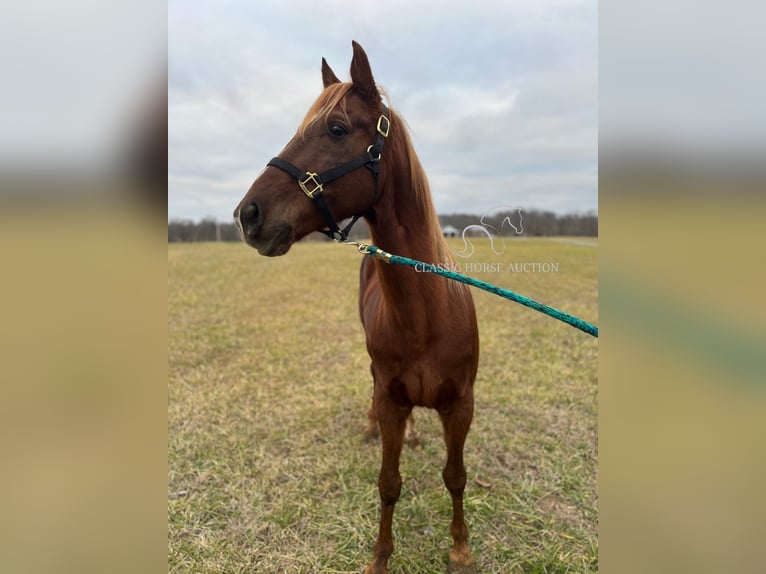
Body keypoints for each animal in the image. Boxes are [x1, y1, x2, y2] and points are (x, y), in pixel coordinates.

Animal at [234, 41, 480, 574]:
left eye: (336, 129)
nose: (248, 215)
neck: (425, 318)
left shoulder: (461, 406)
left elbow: (455, 476)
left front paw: (460, 549)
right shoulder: (390, 398)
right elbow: (388, 484)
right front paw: (380, 557)